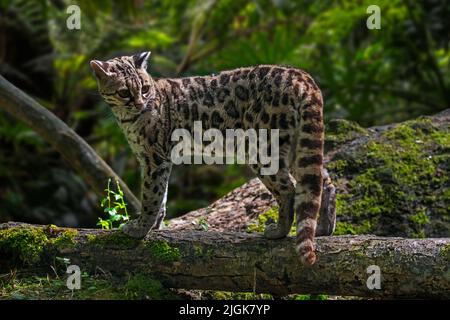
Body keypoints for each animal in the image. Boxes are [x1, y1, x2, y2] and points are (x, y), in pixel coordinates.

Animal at [90, 50, 334, 264]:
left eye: (145, 88)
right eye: (124, 92)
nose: (141, 104)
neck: (125, 117)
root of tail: (300, 75)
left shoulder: (154, 159)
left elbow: (152, 195)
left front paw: (140, 228)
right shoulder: (157, 160)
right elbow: (162, 195)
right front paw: (155, 226)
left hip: (261, 149)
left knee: (288, 189)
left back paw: (279, 231)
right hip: (298, 146)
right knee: (321, 181)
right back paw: (323, 229)